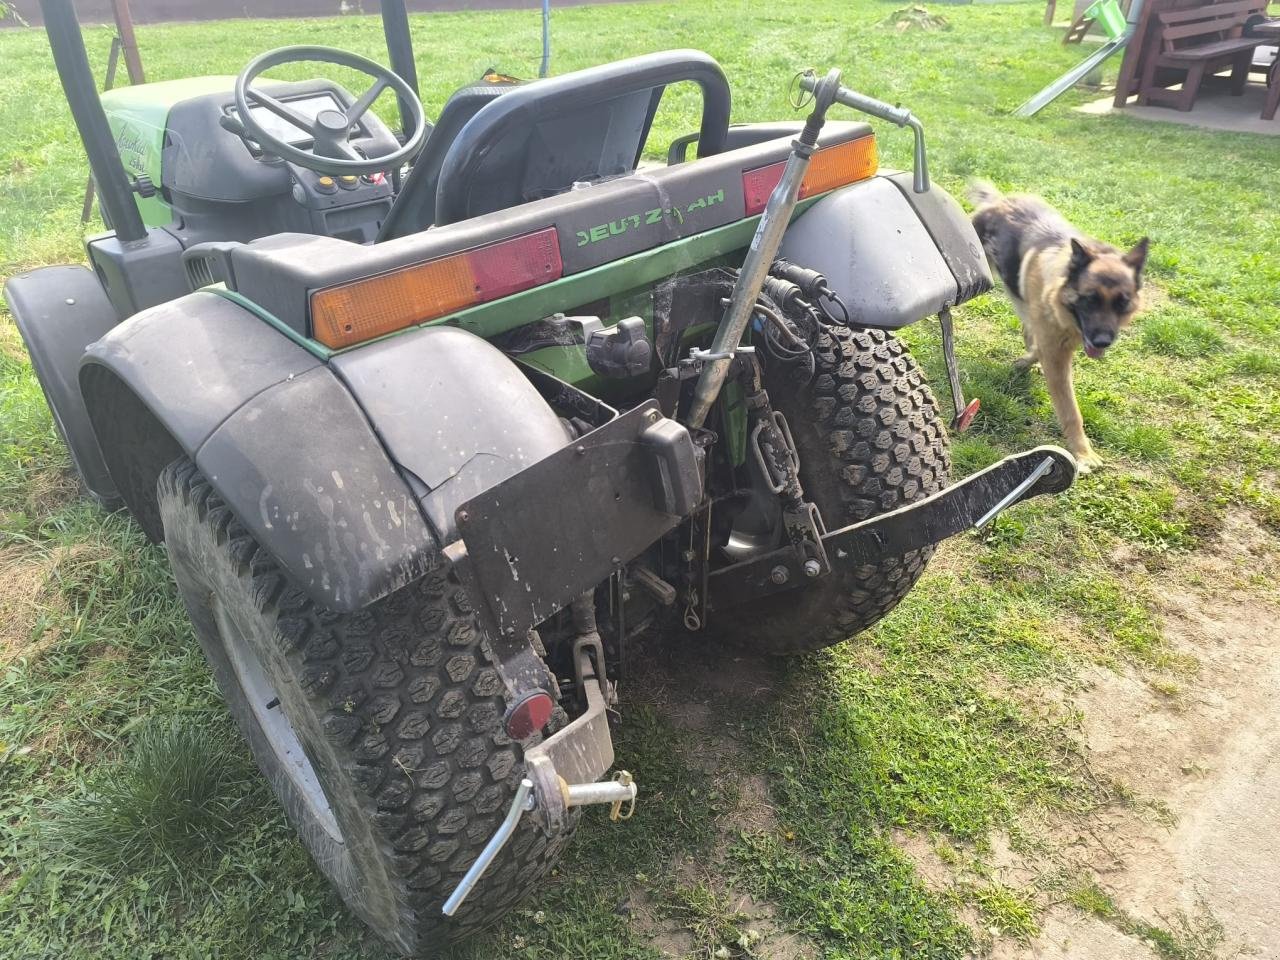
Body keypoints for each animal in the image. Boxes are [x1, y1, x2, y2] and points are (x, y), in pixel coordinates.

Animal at [967, 183, 1152, 473]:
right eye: (1090, 299)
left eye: (1122, 303)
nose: (1102, 342)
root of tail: (999, 200)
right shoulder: (1056, 353)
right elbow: (1070, 410)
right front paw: (1083, 454)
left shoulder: (1055, 341)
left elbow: (1035, 345)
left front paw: (1026, 361)